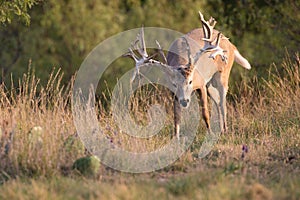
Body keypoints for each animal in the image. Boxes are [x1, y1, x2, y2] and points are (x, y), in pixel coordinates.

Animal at [123, 11, 251, 139]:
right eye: (174, 84)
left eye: (190, 81)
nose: (184, 101)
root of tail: (231, 44)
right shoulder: (174, 92)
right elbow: (176, 116)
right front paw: (176, 137)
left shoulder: (201, 84)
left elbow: (205, 112)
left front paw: (209, 133)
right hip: (210, 84)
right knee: (217, 101)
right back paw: (221, 129)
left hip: (222, 74)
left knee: (223, 102)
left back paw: (225, 131)